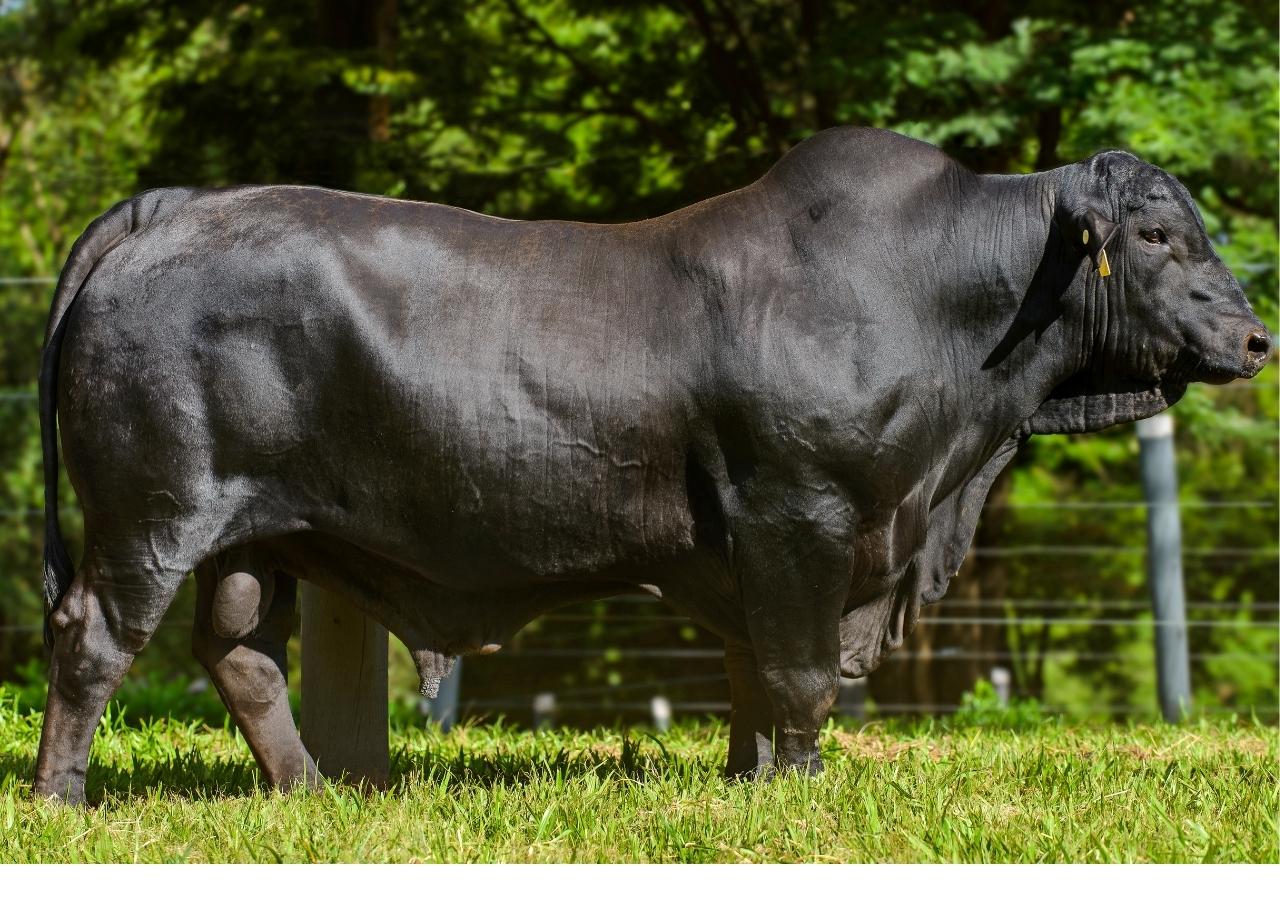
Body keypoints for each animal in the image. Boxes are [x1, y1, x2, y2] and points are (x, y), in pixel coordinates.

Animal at [32, 128, 1269, 803]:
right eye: (1154, 236)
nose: (1254, 337)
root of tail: (179, 202)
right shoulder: (800, 516)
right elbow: (799, 674)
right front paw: (802, 789)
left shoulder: (754, 551)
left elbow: (751, 674)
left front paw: (749, 781)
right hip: (152, 510)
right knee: (94, 640)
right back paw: (62, 798)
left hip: (254, 534)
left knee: (240, 654)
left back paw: (309, 793)